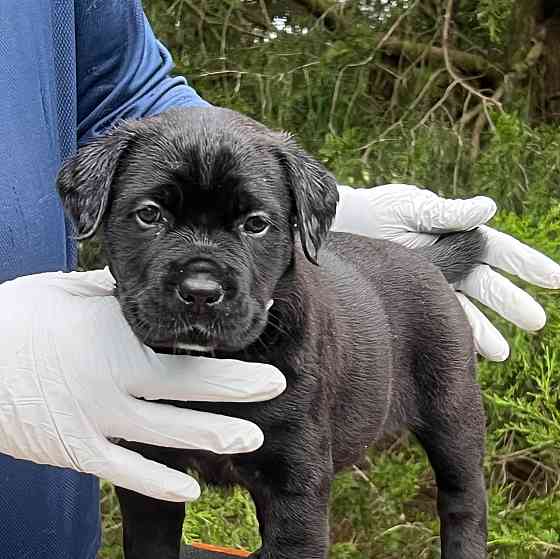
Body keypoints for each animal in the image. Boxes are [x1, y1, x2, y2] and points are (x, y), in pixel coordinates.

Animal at [55, 108, 486, 559]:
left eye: (256, 224)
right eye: (150, 215)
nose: (201, 292)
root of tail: (427, 260)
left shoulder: (295, 482)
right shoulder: (150, 471)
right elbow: (151, 544)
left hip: (453, 410)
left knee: (464, 499)